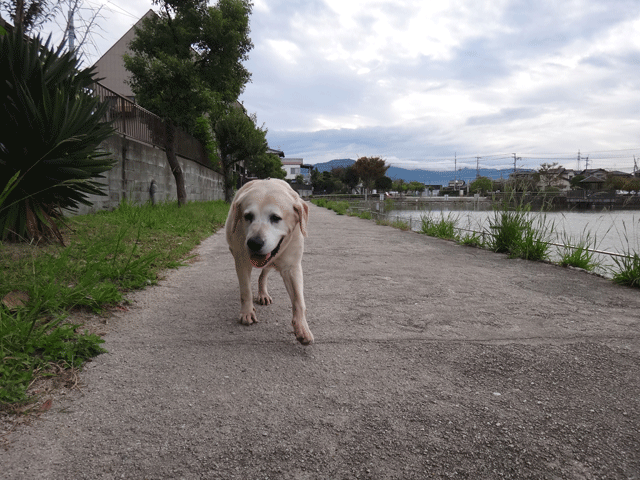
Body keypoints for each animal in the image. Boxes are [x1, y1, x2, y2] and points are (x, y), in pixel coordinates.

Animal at [226, 179, 314, 344]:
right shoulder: (241, 261)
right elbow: (246, 289)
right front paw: (247, 312)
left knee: (263, 275)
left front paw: (302, 327)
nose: (254, 243)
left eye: (275, 218)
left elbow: (299, 301)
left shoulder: (292, 268)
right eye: (248, 216)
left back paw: (263, 294)